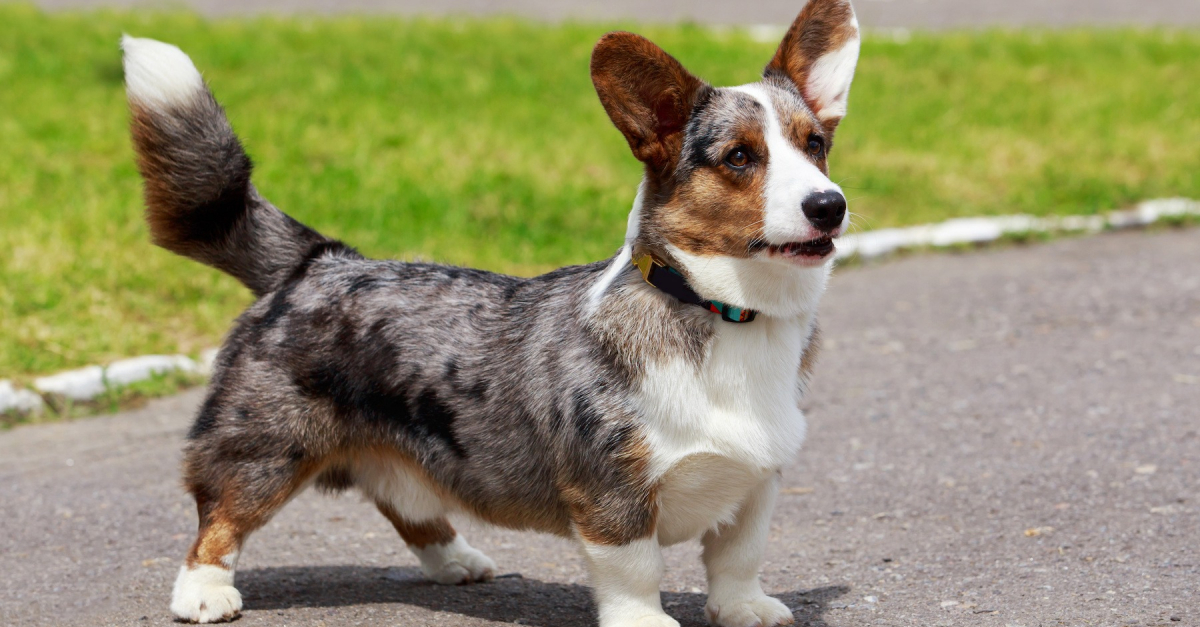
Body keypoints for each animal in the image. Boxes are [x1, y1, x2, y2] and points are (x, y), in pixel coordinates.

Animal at [124, 2, 864, 619]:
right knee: (221, 516)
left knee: (404, 501)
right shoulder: (611, 492)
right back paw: (204, 592)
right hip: (269, 446)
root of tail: (318, 260)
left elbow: (738, 556)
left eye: (815, 145)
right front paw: (647, 620)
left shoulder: (756, 482)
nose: (829, 206)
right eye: (739, 157)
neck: (725, 311)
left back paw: (456, 560)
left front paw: (746, 610)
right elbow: (637, 570)